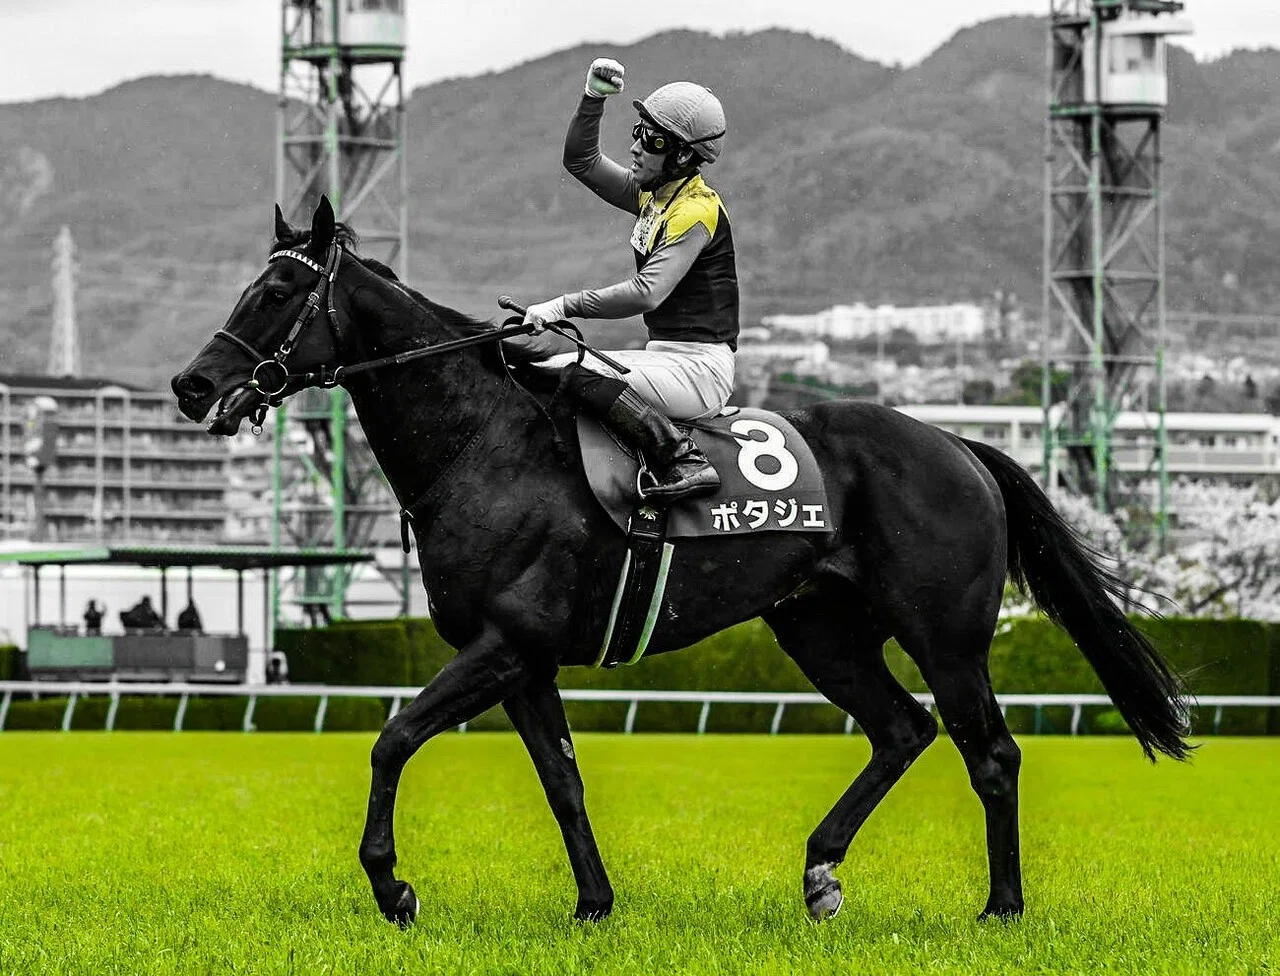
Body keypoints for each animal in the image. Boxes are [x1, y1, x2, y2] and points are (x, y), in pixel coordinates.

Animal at [171, 197, 1189, 928]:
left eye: (275, 294)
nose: (192, 384)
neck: (482, 443)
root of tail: (959, 446)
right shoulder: (524, 661)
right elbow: (563, 781)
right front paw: (593, 904)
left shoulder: (503, 643)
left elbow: (390, 739)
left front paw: (393, 888)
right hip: (817, 627)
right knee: (901, 729)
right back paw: (820, 872)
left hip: (946, 638)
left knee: (993, 753)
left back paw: (1001, 907)